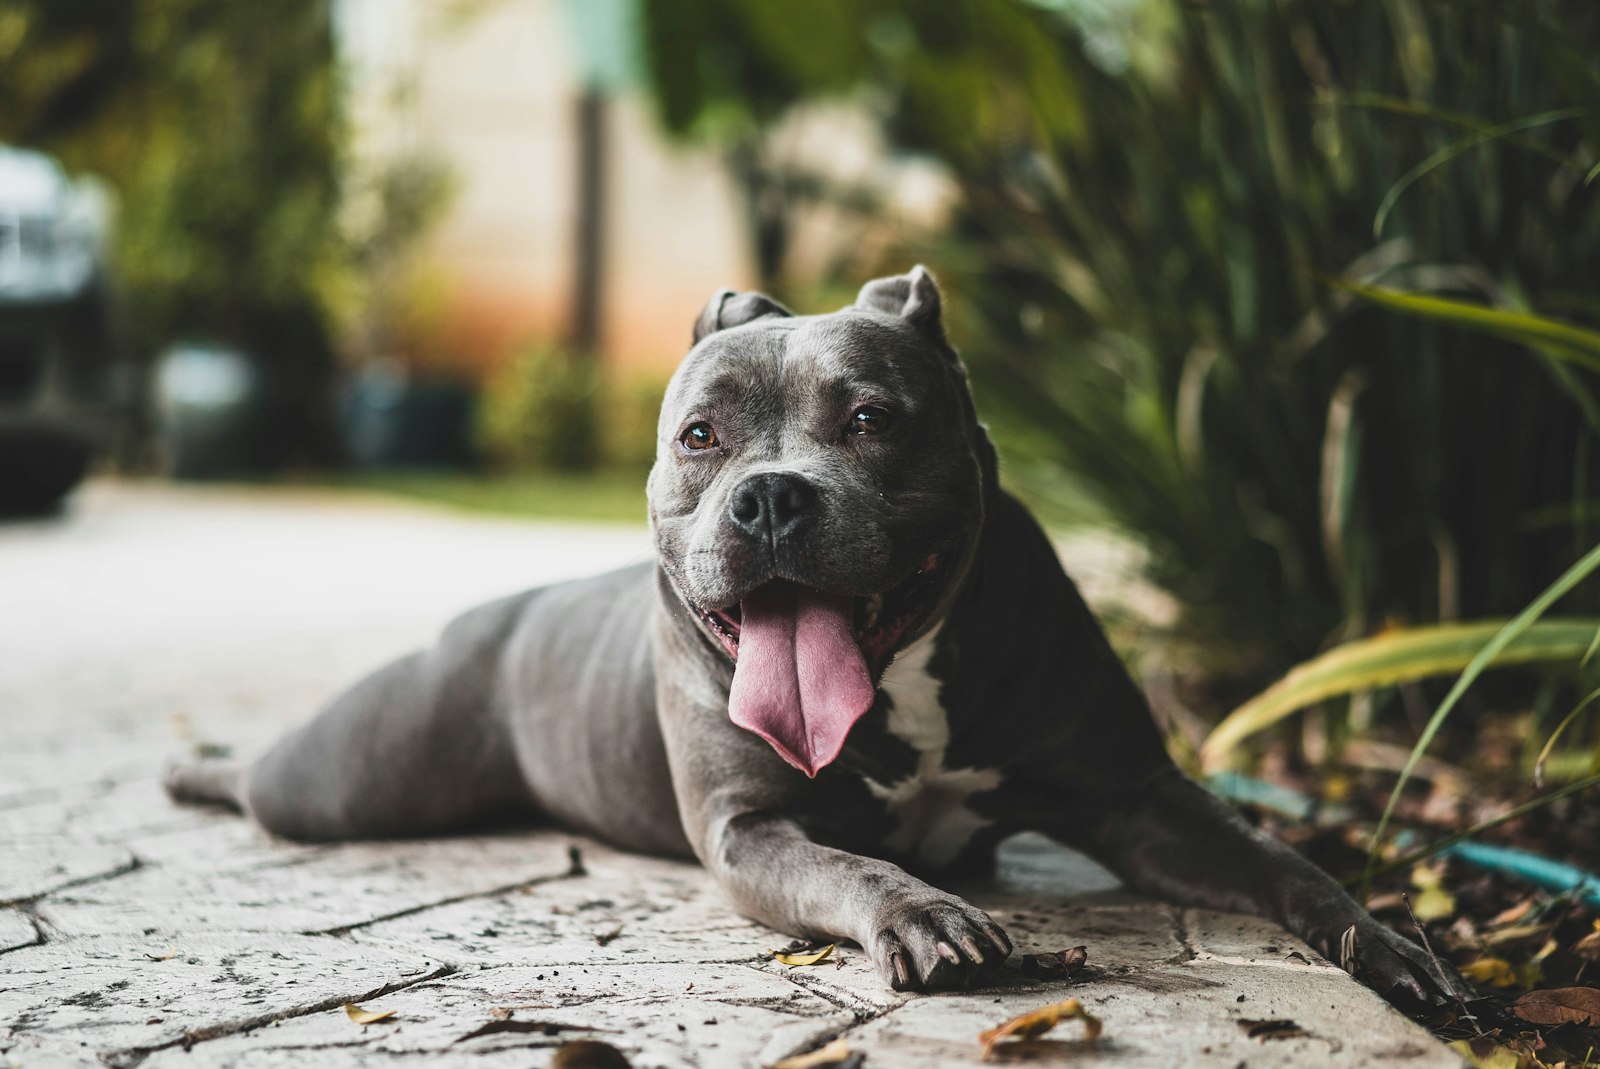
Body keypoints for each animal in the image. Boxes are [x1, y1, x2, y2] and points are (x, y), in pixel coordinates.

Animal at [168, 267, 1465, 1004]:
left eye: (872, 418)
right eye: (698, 436)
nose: (770, 497)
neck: (902, 681)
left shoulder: (1139, 798)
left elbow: (1278, 861)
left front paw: (1376, 939)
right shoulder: (751, 830)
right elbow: (850, 863)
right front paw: (924, 913)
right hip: (354, 774)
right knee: (269, 780)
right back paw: (197, 768)